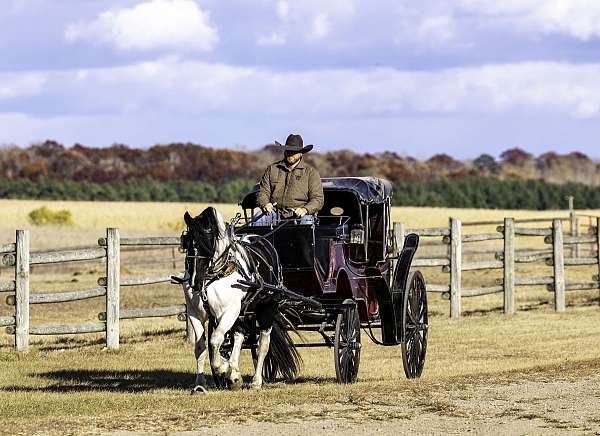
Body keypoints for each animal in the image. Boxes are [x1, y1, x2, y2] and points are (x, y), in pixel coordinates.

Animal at [178, 206, 300, 394]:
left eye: (206, 241)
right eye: (187, 242)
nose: (194, 281)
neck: (215, 275)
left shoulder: (230, 311)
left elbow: (215, 340)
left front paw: (221, 367)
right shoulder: (195, 313)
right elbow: (201, 347)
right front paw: (201, 383)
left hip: (266, 308)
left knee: (262, 344)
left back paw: (256, 380)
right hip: (243, 312)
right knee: (239, 335)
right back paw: (234, 375)